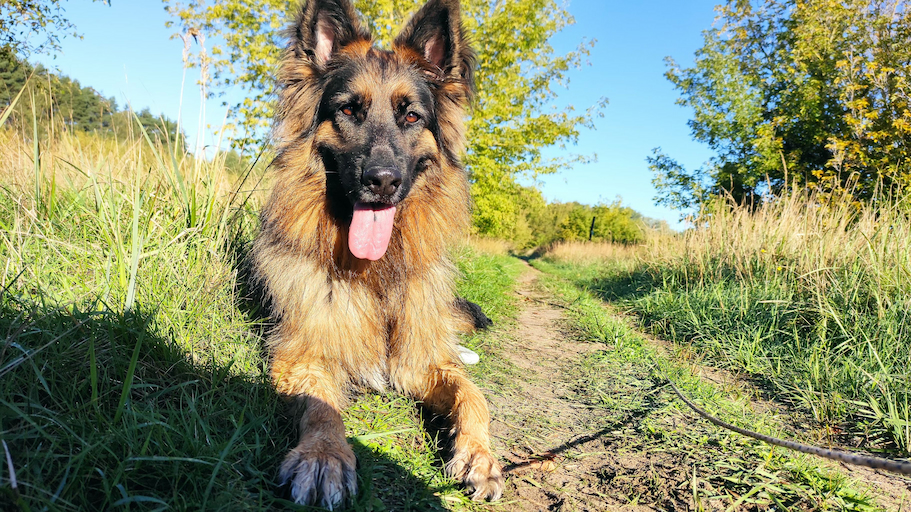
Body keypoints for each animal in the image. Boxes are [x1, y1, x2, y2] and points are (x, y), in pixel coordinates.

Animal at [249, 0, 506, 506]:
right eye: (349, 109)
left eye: (411, 117)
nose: (382, 181)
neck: (374, 271)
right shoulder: (302, 356)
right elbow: (322, 408)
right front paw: (324, 456)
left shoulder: (420, 361)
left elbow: (473, 395)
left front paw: (480, 455)